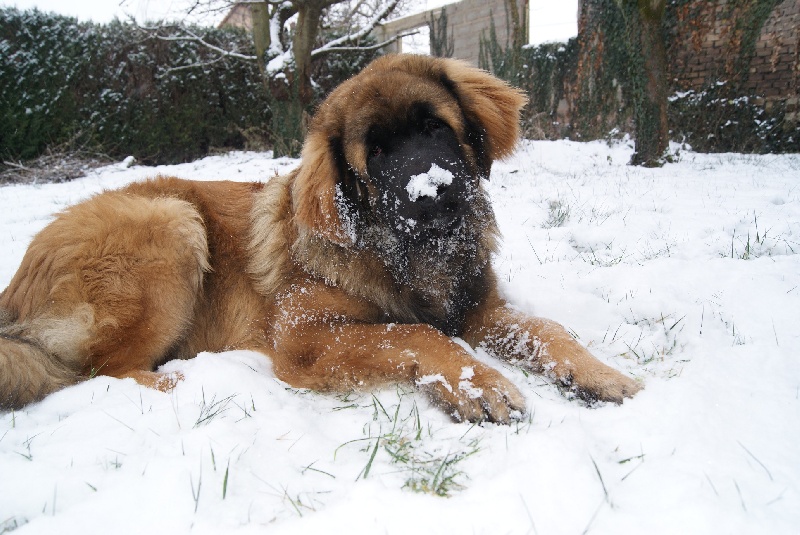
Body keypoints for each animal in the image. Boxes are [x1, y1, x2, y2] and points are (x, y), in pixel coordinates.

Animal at [0, 55, 640, 422]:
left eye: (435, 127)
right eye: (375, 154)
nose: (431, 193)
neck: (405, 255)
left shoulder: (478, 310)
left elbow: (546, 329)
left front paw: (598, 373)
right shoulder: (306, 337)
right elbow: (415, 333)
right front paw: (474, 384)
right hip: (171, 222)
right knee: (98, 371)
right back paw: (183, 383)